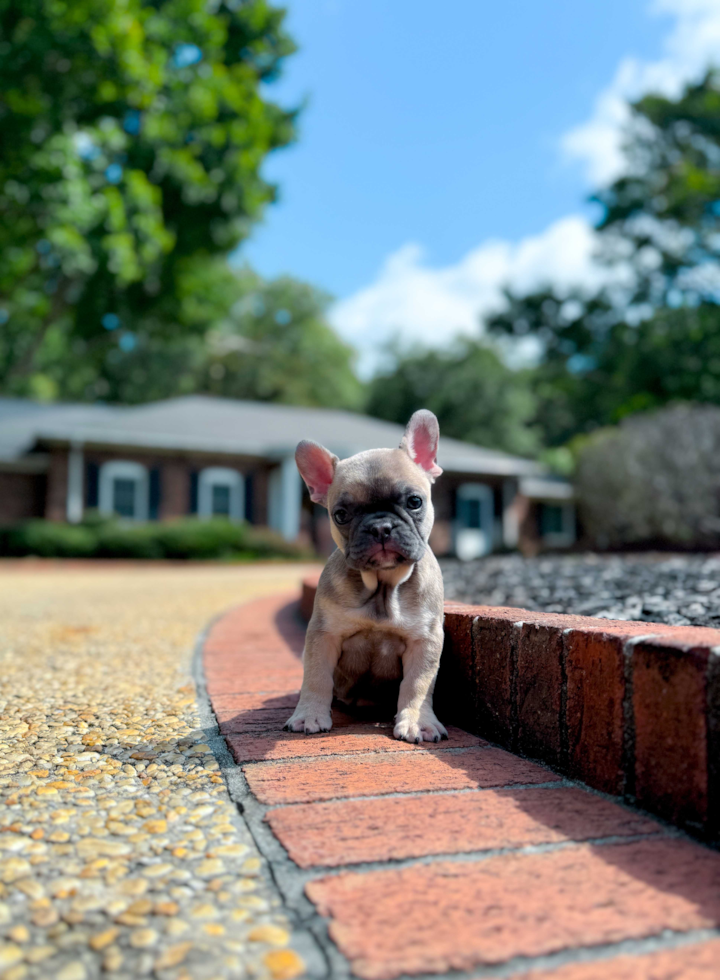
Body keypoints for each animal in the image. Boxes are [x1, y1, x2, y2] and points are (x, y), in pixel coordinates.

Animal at [286, 408, 444, 744]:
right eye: (341, 514)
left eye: (415, 502)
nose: (381, 527)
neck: (382, 586)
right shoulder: (323, 635)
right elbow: (316, 677)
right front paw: (310, 715)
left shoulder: (425, 640)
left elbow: (418, 683)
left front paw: (416, 722)